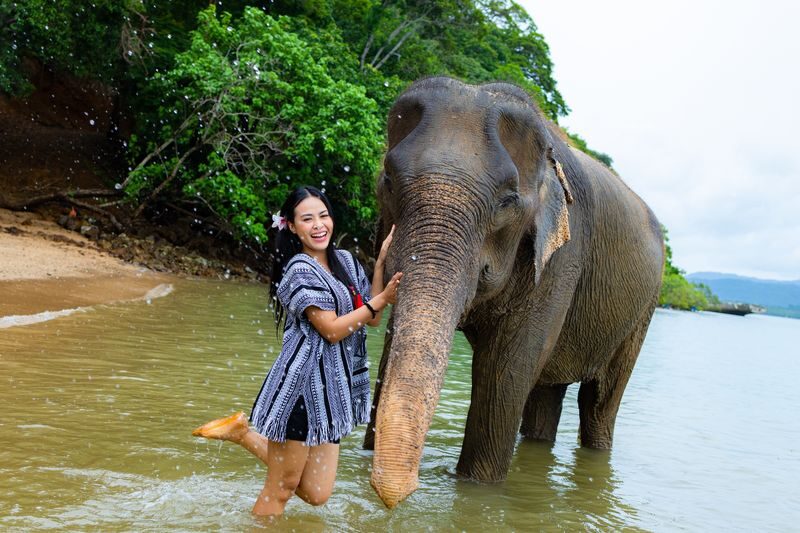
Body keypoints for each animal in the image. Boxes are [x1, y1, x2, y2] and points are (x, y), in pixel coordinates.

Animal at [364, 77, 664, 509]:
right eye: (387, 179)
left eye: (507, 200)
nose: (395, 499)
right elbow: (393, 350)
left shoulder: (561, 259)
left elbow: (504, 371)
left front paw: (478, 489)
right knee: (546, 394)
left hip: (642, 312)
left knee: (598, 401)